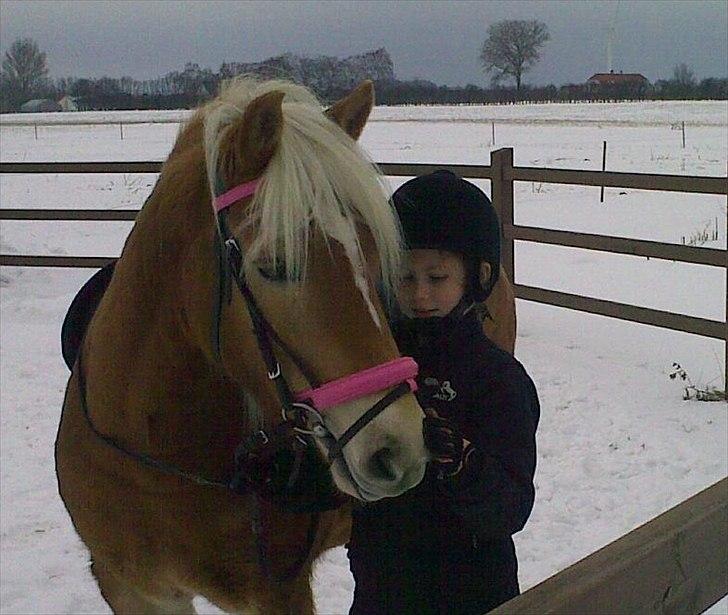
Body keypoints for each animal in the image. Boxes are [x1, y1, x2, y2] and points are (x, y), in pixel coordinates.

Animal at [59, 78, 432, 615]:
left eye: (377, 257)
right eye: (274, 266)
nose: (397, 449)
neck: (157, 462)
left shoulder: (277, 595)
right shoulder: (133, 590)